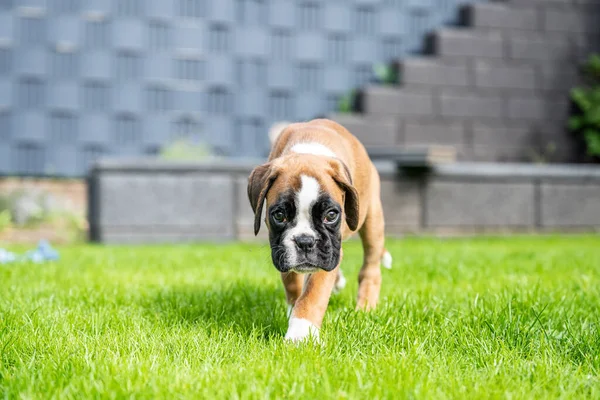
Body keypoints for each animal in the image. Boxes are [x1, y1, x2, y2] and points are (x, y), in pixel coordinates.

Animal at [247, 117, 392, 342]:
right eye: (279, 215)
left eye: (330, 215)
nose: (305, 242)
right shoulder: (282, 249)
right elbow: (292, 281)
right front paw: (293, 311)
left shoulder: (328, 249)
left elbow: (313, 293)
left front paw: (300, 332)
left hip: (372, 220)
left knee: (370, 268)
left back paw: (365, 308)